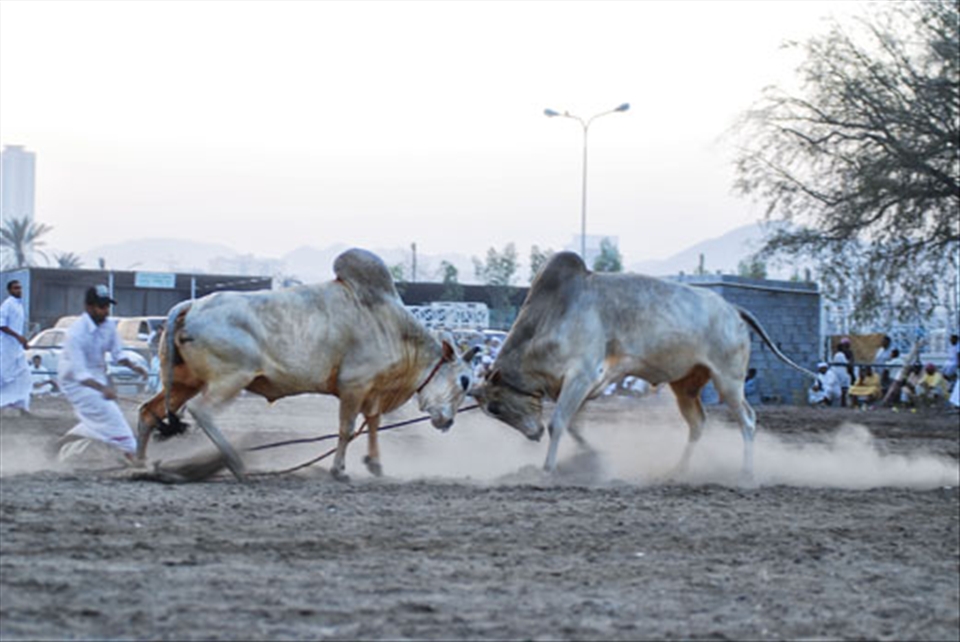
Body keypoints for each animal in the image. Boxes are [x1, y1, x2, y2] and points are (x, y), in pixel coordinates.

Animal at [137, 248, 478, 482]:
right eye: (464, 380)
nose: (448, 422)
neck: (392, 326)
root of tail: (191, 305)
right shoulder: (353, 386)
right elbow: (347, 428)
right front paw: (339, 470)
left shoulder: (372, 391)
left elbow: (373, 423)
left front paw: (375, 464)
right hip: (231, 379)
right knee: (201, 412)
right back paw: (234, 462)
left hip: (184, 382)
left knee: (149, 412)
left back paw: (137, 464)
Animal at [470, 251, 814, 483]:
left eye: (495, 407)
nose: (533, 435)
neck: (552, 315)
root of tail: (733, 309)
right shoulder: (582, 386)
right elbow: (574, 425)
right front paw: (591, 458)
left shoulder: (581, 376)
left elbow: (559, 423)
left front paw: (548, 469)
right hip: (686, 386)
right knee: (697, 425)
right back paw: (677, 471)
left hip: (728, 381)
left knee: (748, 420)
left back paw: (745, 473)